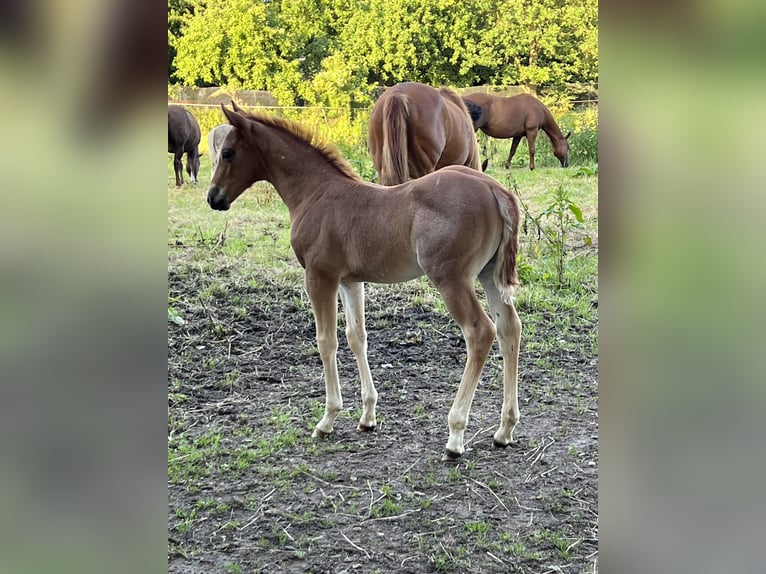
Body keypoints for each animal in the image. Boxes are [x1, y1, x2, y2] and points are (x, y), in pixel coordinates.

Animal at [207, 102, 523, 460]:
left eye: (228, 153)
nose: (213, 198)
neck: (316, 193)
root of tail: (495, 190)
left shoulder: (319, 277)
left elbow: (326, 341)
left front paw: (327, 419)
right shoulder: (350, 281)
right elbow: (357, 337)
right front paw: (368, 415)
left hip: (452, 279)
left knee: (480, 332)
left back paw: (455, 435)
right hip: (488, 275)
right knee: (509, 328)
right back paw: (504, 430)